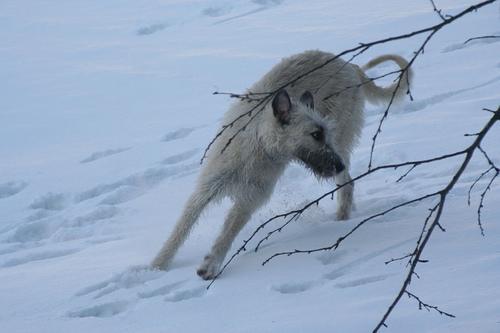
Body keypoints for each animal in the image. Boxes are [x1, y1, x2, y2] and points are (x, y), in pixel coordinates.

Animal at [150, 50, 412, 278]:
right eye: (316, 134)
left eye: (324, 133)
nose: (337, 165)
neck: (258, 146)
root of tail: (349, 65)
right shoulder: (208, 187)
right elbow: (181, 227)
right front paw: (158, 265)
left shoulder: (250, 199)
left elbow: (227, 232)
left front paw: (211, 264)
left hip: (343, 135)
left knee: (347, 184)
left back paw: (342, 218)